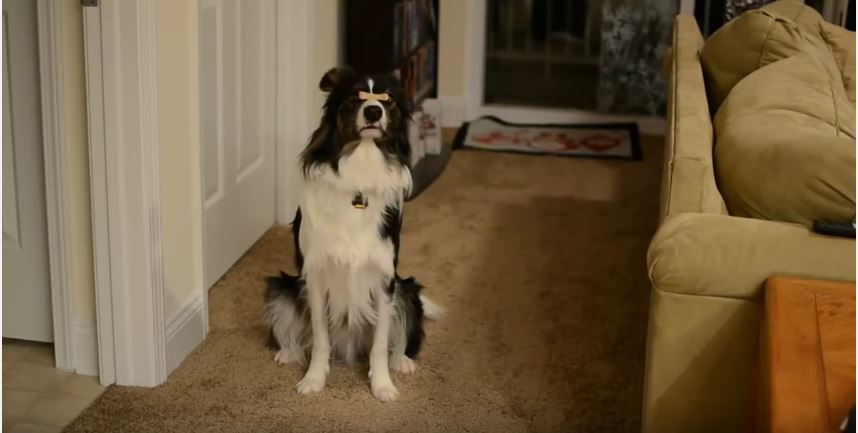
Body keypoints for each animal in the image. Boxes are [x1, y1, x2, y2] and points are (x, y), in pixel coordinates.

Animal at [262, 67, 442, 402]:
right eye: (355, 97)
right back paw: (287, 352)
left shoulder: (385, 279)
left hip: (407, 291)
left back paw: (402, 361)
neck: (362, 166)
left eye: (387, 100)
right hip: (283, 288)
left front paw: (382, 385)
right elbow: (320, 338)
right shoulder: (316, 276)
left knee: (398, 339)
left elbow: (380, 344)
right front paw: (314, 379)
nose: (373, 111)